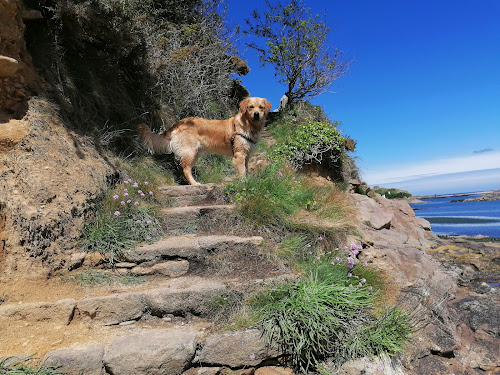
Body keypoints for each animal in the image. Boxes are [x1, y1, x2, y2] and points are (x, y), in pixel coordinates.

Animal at [137, 97, 272, 185]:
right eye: (250, 107)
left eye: (261, 108)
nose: (256, 114)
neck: (248, 126)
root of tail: (179, 123)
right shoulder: (239, 154)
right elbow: (242, 171)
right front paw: (244, 182)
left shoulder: (247, 155)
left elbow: (247, 169)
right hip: (190, 152)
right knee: (186, 170)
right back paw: (195, 183)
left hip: (194, 154)